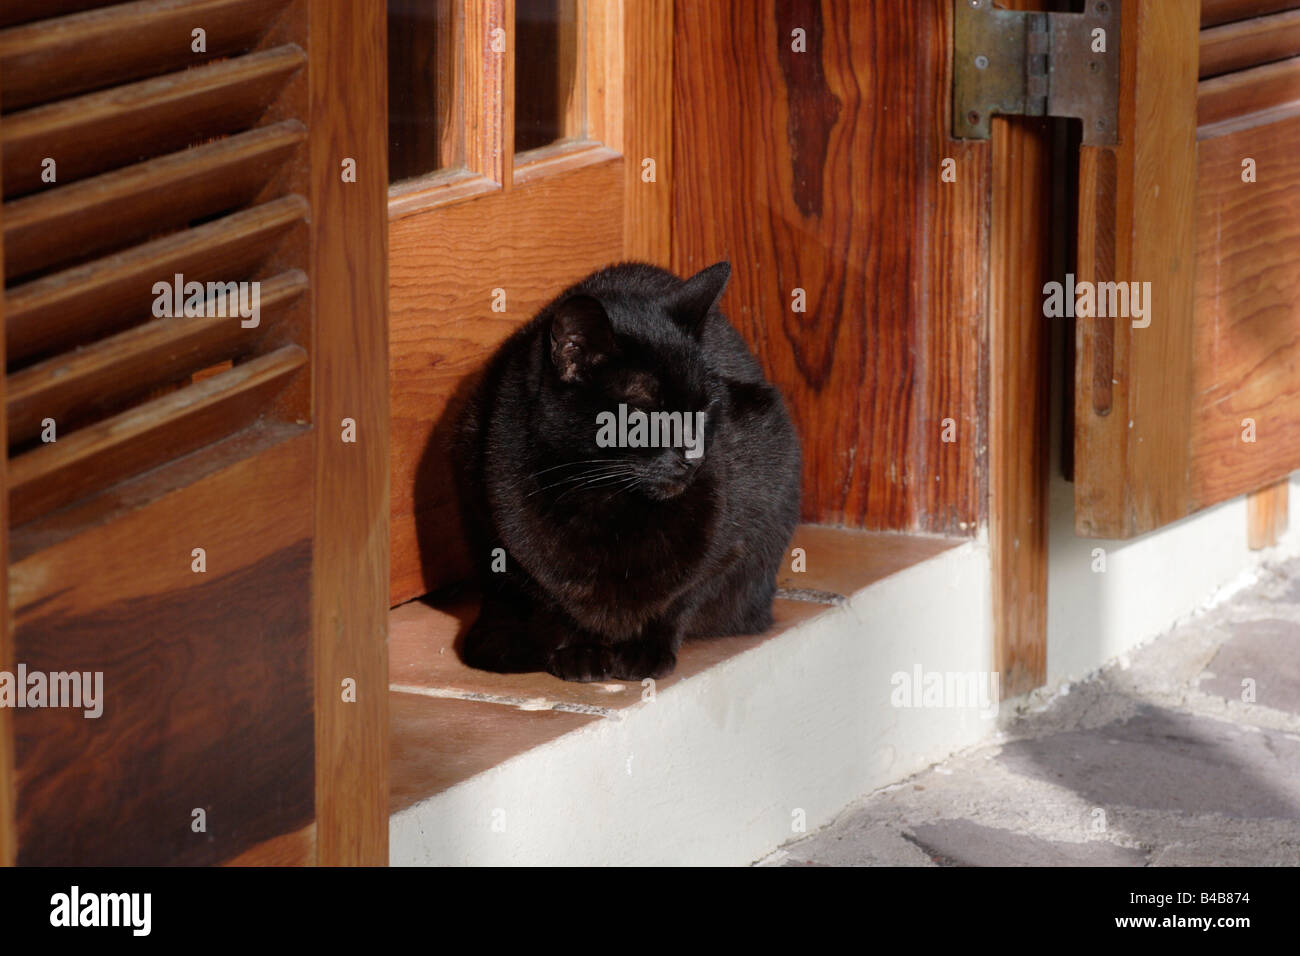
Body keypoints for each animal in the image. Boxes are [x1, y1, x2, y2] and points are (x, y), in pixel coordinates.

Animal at [457, 260, 800, 681]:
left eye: (703, 409)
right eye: (640, 413)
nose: (694, 455)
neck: (603, 502)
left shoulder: (737, 536)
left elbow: (683, 597)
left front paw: (645, 650)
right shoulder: (514, 551)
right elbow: (555, 605)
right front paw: (581, 651)